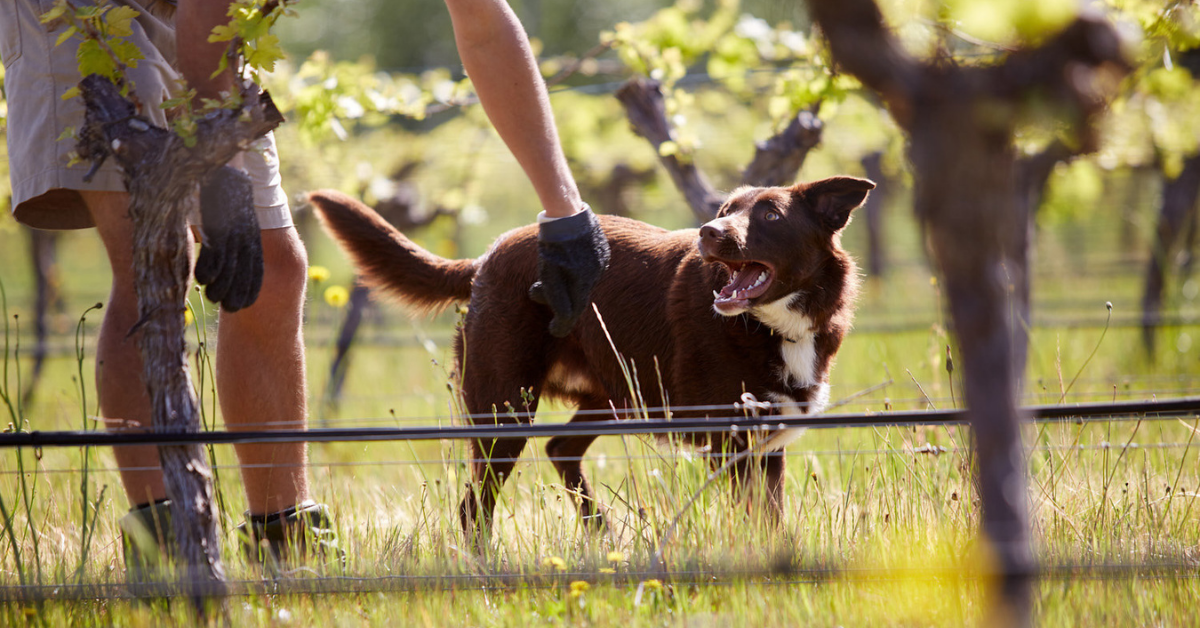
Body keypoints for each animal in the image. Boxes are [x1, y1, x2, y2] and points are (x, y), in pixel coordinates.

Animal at [309, 176, 873, 545]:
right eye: (725, 209)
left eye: (771, 215)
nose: (708, 233)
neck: (772, 325)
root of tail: (487, 257)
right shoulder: (727, 443)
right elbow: (754, 520)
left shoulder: (765, 446)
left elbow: (771, 520)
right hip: (503, 415)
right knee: (475, 507)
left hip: (611, 396)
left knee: (560, 448)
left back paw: (603, 535)